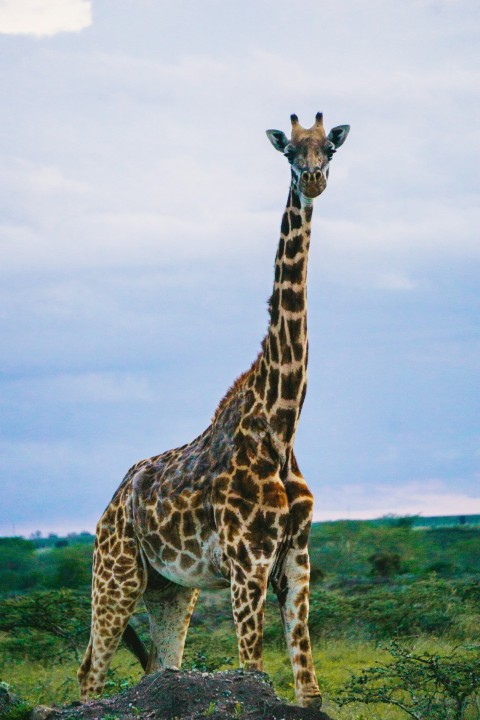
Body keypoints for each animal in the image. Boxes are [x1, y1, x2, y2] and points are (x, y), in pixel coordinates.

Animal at [78, 112, 348, 708]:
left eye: (330, 150)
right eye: (290, 152)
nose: (314, 179)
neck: (282, 423)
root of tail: (111, 504)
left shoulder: (296, 562)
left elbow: (310, 692)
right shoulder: (247, 565)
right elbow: (253, 671)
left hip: (172, 589)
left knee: (162, 665)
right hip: (116, 573)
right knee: (90, 671)